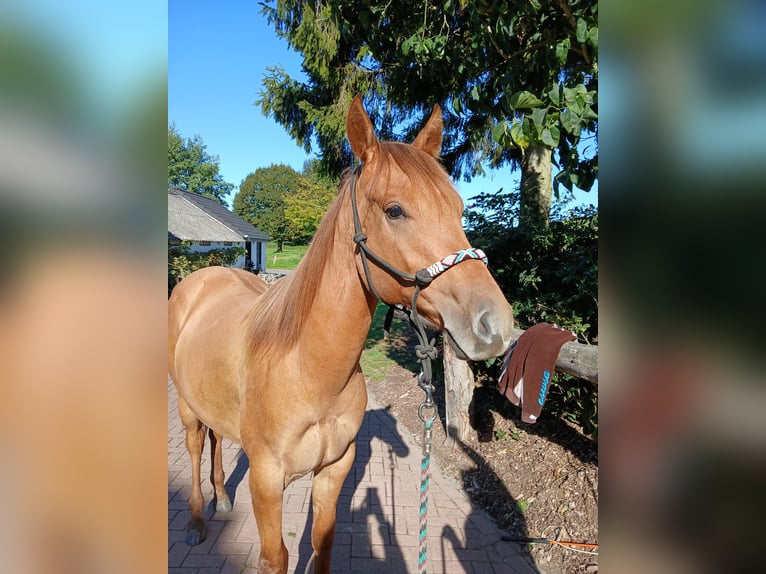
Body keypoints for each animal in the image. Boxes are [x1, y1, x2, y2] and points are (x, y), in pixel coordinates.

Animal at [168, 97, 516, 572]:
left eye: (459, 209)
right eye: (394, 210)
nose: (495, 325)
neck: (309, 371)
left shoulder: (334, 468)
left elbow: (323, 539)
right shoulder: (265, 481)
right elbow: (275, 556)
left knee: (218, 439)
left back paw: (222, 498)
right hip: (187, 409)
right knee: (195, 447)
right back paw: (196, 522)